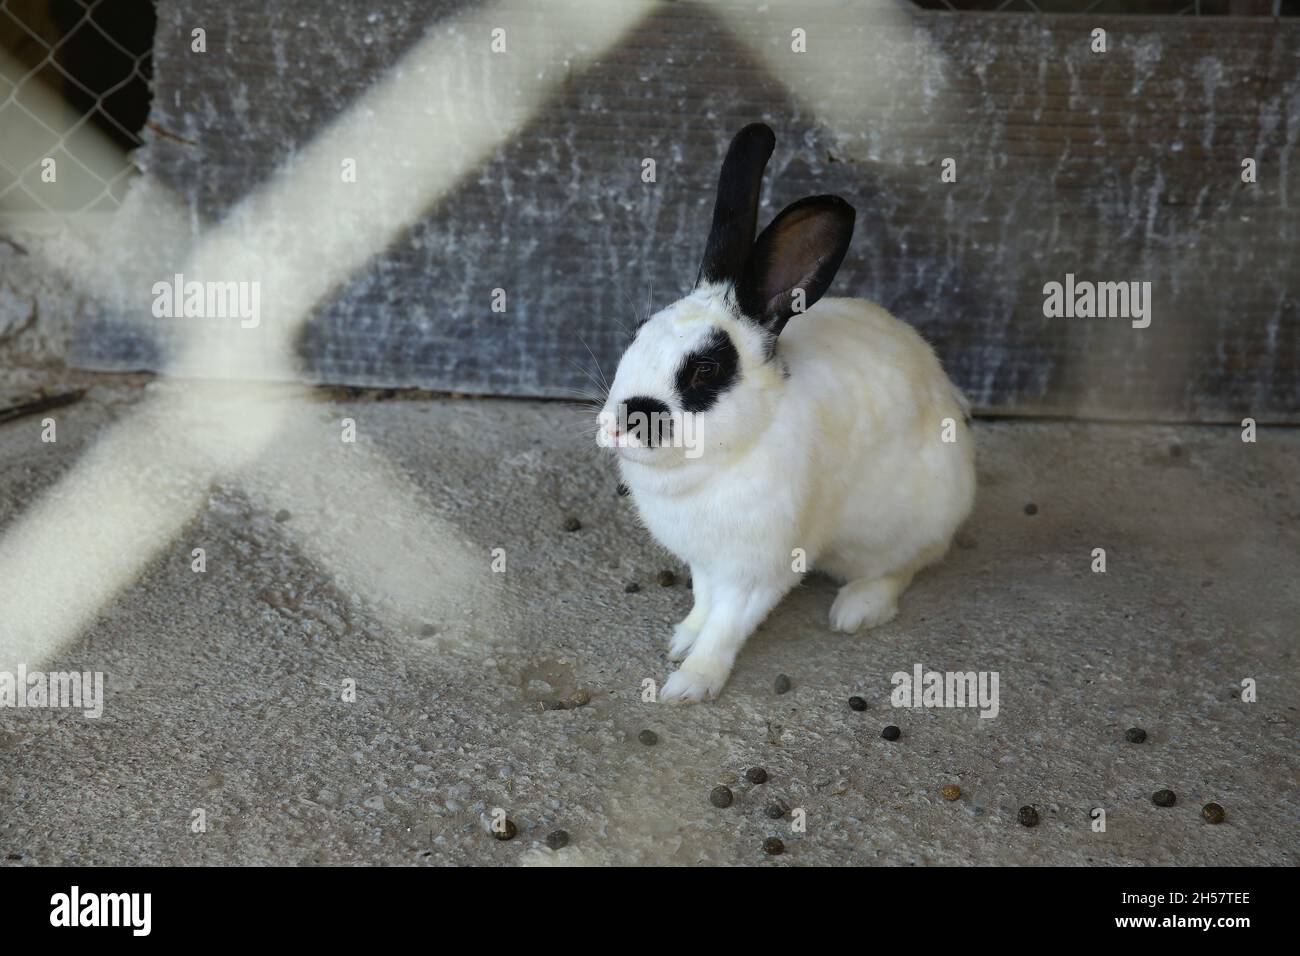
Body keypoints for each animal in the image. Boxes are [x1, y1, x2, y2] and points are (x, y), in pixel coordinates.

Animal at [597, 123, 975, 703]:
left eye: (706, 370)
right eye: (635, 334)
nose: (619, 425)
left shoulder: (760, 569)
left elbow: (727, 625)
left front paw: (691, 683)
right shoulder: (706, 561)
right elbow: (704, 603)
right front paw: (682, 638)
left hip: (912, 525)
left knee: (904, 567)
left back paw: (855, 609)